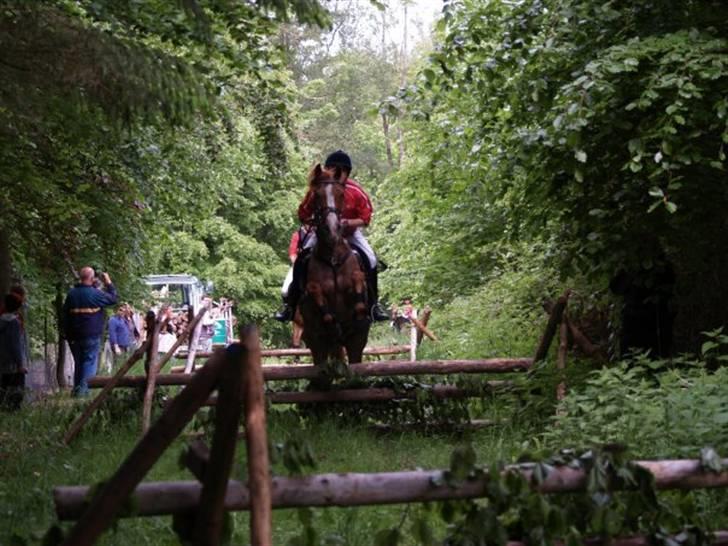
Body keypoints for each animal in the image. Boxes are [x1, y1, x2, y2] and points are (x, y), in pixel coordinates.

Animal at [298, 164, 372, 380]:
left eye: (341, 195)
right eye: (316, 195)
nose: (332, 229)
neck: (332, 257)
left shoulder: (356, 278)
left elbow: (358, 284)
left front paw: (357, 316)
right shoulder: (314, 288)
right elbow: (317, 294)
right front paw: (333, 324)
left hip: (357, 344)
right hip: (315, 342)